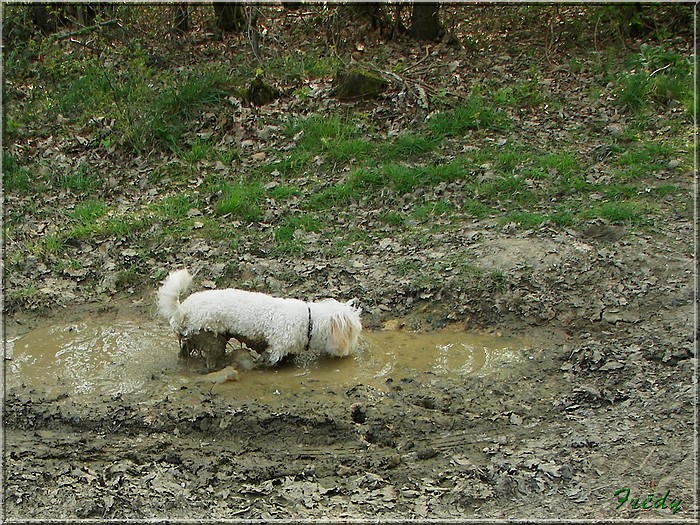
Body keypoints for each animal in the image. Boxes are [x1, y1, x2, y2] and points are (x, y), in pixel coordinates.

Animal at [155, 268, 358, 370]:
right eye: (353, 334)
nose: (351, 351)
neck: (308, 322)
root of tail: (181, 310)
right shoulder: (275, 350)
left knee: (184, 352)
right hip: (210, 336)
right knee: (212, 358)